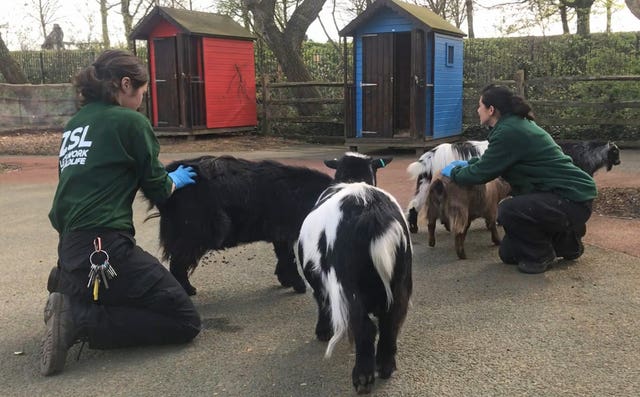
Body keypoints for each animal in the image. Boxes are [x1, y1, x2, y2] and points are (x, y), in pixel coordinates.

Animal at [155, 155, 332, 294]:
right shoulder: (284, 231)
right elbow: (289, 258)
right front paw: (298, 284)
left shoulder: (280, 235)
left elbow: (284, 257)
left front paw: (286, 280)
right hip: (193, 234)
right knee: (178, 264)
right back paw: (188, 290)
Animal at [296, 152, 412, 392]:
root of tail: (372, 212)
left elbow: (321, 302)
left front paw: (323, 331)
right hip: (401, 280)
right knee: (391, 322)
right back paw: (385, 367)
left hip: (347, 285)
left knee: (365, 328)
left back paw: (362, 377)